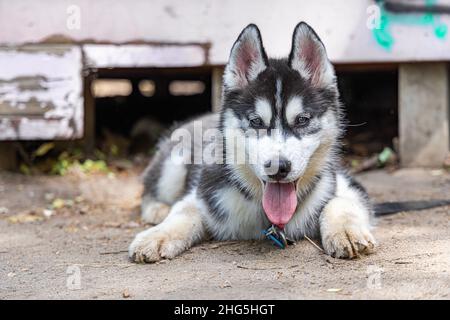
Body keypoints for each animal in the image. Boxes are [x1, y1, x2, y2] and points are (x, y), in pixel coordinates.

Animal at [129, 22, 376, 262]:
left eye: (302, 120)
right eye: (256, 121)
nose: (278, 167)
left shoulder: (345, 184)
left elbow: (341, 202)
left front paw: (346, 231)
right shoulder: (204, 194)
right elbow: (183, 211)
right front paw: (156, 235)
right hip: (174, 162)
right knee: (149, 190)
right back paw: (158, 209)